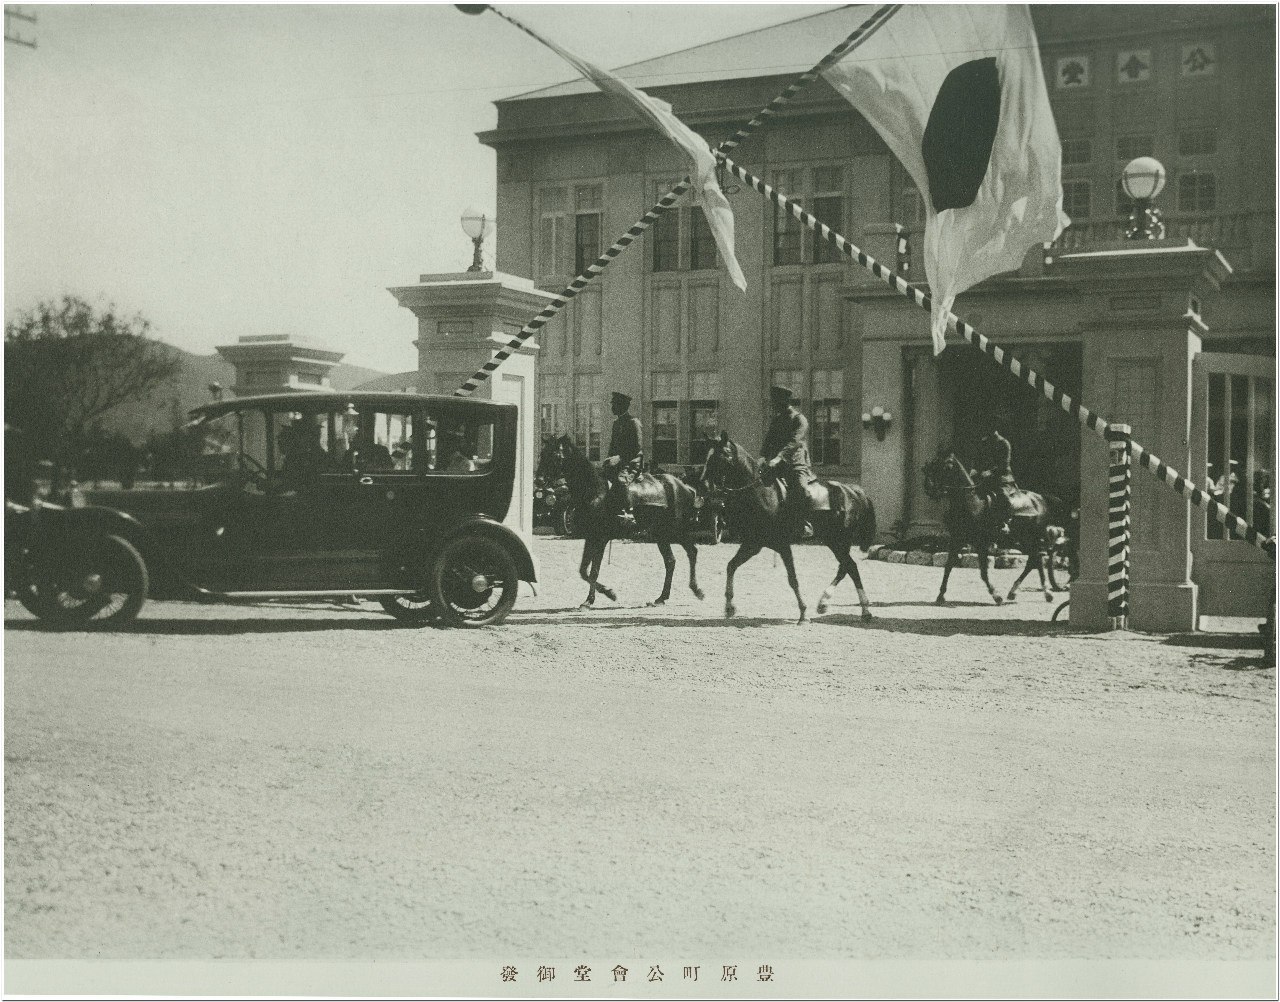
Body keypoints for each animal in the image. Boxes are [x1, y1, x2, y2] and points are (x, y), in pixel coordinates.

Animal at [552, 437, 706, 611]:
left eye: (556, 456)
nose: (539, 479)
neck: (595, 493)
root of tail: (685, 487)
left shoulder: (601, 538)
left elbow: (593, 571)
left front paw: (607, 594)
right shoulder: (591, 537)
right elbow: (585, 571)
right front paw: (591, 599)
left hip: (676, 530)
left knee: (691, 552)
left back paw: (696, 590)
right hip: (661, 534)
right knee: (671, 561)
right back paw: (661, 598)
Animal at [701, 432, 880, 627]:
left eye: (722, 455)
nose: (704, 485)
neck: (761, 493)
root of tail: (853, 491)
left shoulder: (782, 545)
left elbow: (792, 579)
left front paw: (803, 614)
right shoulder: (753, 544)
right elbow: (731, 566)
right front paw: (729, 607)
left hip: (839, 541)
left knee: (850, 567)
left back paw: (856, 608)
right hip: (834, 541)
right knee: (846, 567)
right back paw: (833, 605)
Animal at [921, 453, 1070, 604]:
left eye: (944, 467)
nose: (928, 488)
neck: (971, 503)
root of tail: (1041, 498)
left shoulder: (981, 543)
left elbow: (983, 572)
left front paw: (996, 595)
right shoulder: (957, 540)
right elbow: (948, 567)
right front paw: (941, 595)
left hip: (1031, 538)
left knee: (1036, 560)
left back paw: (1046, 592)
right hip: (1022, 540)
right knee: (1033, 560)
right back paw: (1015, 591)